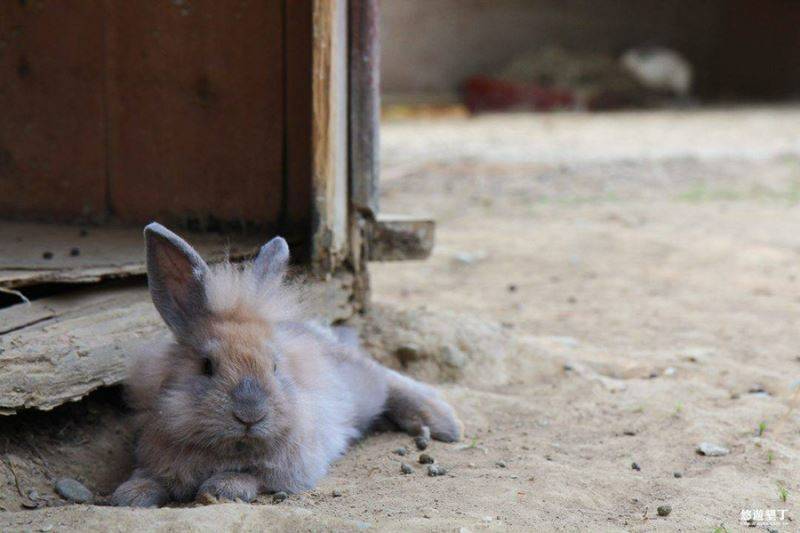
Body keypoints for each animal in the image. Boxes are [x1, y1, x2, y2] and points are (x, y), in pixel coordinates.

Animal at [111, 222, 462, 504]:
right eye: (206, 366)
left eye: (275, 366)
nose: (250, 414)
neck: (231, 446)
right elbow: (147, 476)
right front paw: (129, 496)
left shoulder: (290, 468)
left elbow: (252, 477)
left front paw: (221, 489)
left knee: (391, 382)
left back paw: (444, 425)